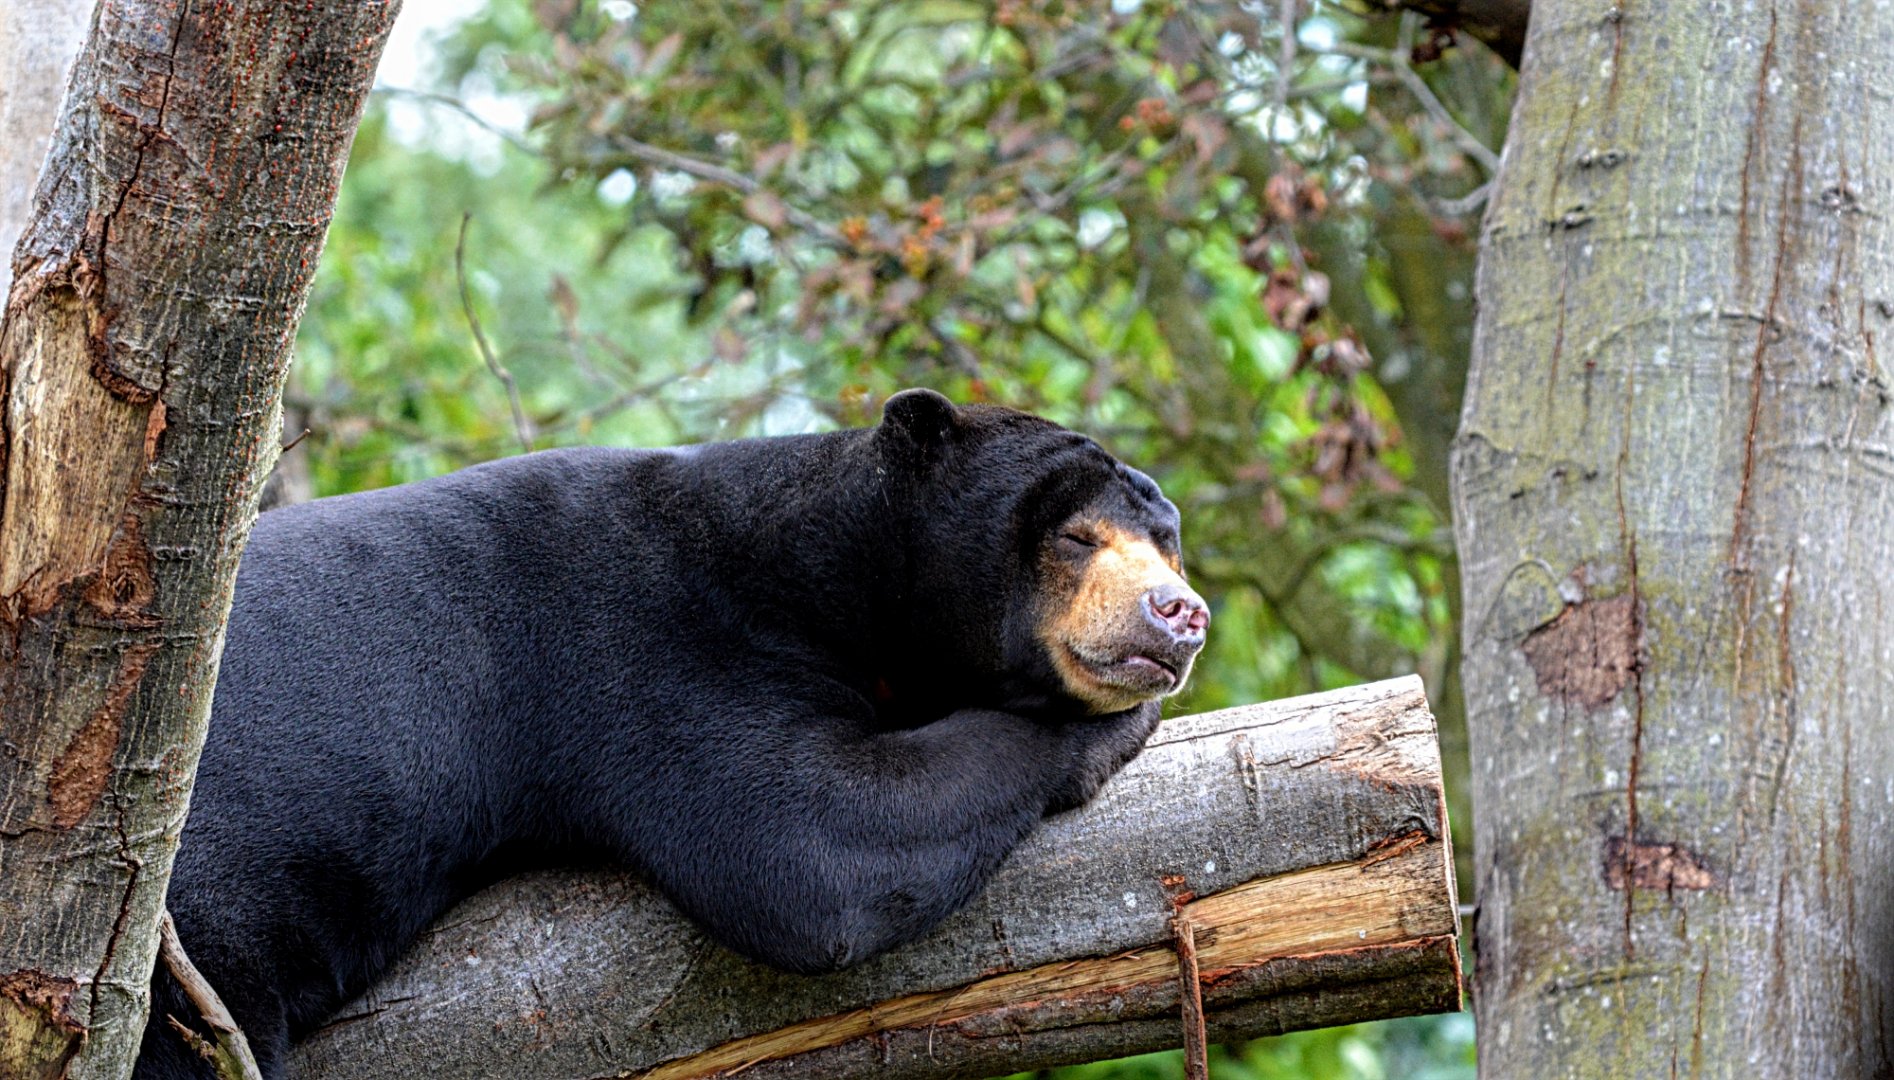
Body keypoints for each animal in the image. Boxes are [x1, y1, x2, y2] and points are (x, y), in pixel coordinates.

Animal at [133, 389, 1209, 1079]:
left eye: (1167, 542)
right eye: (1074, 538)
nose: (1180, 614)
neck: (838, 565)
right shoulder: (658, 645)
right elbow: (805, 845)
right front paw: (1115, 724)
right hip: (199, 924)